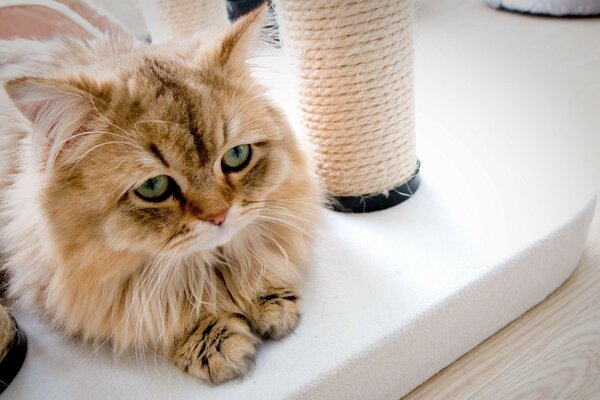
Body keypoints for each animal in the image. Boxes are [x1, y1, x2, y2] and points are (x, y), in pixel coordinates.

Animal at [0, 4, 322, 382]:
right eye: (154, 187)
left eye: (236, 156)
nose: (219, 216)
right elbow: (158, 312)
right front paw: (211, 338)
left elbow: (254, 252)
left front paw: (263, 295)